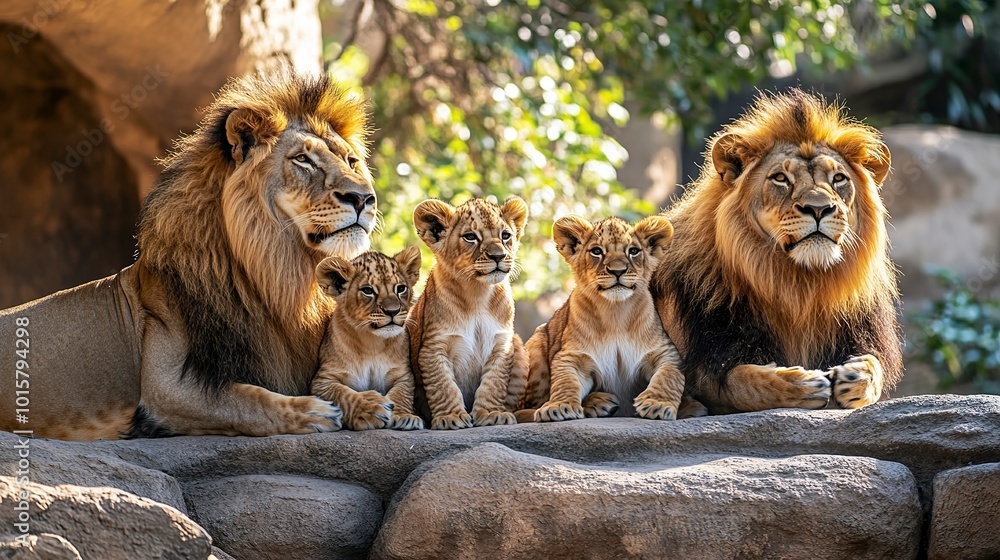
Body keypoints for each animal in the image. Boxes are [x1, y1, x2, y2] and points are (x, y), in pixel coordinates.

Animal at [0, 70, 376, 440]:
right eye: (303, 160)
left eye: (351, 161)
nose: (363, 198)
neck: (281, 273)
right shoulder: (166, 388)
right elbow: (249, 400)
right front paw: (313, 411)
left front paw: (366, 405)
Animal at [652, 89, 904, 416]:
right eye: (781, 179)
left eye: (838, 179)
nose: (819, 209)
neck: (799, 286)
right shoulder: (707, 364)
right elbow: (744, 383)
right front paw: (801, 383)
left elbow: (875, 366)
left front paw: (857, 376)